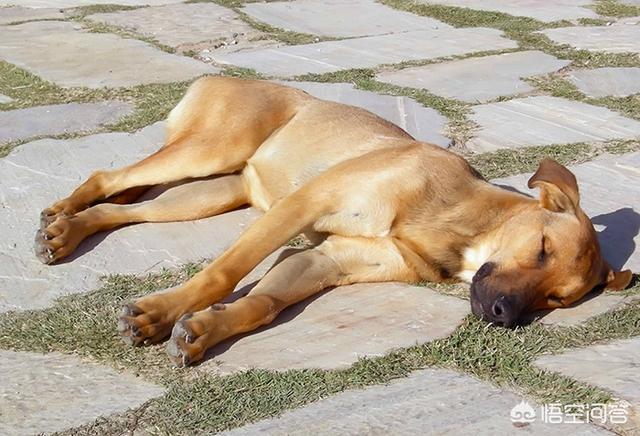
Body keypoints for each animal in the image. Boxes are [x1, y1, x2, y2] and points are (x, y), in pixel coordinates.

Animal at [33, 76, 632, 366]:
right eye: (541, 248)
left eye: (557, 299)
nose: (504, 314)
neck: (460, 223)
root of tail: (216, 75)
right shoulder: (304, 206)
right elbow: (224, 273)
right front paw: (160, 312)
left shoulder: (325, 260)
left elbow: (263, 303)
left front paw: (204, 330)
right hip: (208, 151)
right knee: (108, 174)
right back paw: (63, 216)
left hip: (213, 191)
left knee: (123, 205)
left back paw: (67, 228)